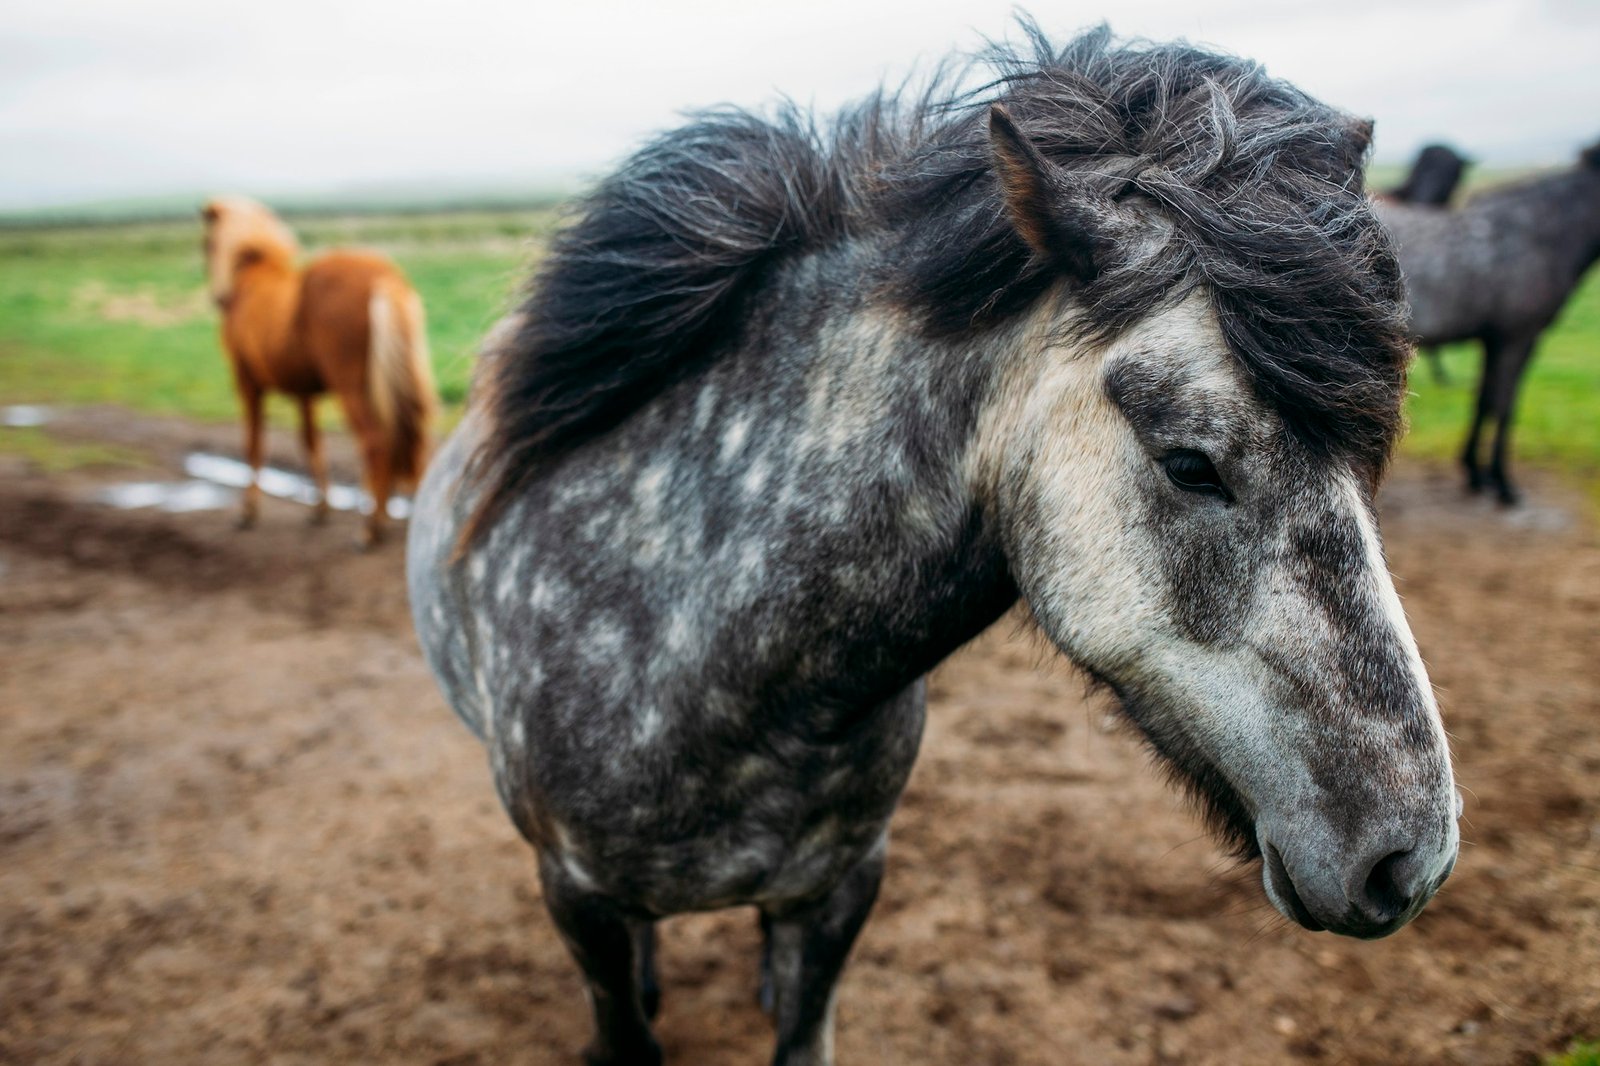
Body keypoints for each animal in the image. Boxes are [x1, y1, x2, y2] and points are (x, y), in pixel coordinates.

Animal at [201, 196, 437, 546]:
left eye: (208, 244)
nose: (218, 297)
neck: (252, 276)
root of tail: (384, 277)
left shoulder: (247, 383)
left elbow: (254, 444)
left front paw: (247, 512)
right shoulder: (304, 393)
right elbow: (311, 443)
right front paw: (320, 508)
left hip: (351, 388)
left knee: (376, 443)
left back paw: (370, 527)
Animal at [408, 26, 1461, 1066]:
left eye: (1371, 457)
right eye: (1192, 464)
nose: (1410, 858)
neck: (695, 647)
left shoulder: (841, 890)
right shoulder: (577, 898)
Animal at [1375, 141, 1600, 504]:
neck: (1539, 233)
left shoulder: (1491, 340)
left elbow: (1483, 401)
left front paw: (1475, 472)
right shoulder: (1517, 338)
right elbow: (1504, 406)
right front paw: (1502, 482)